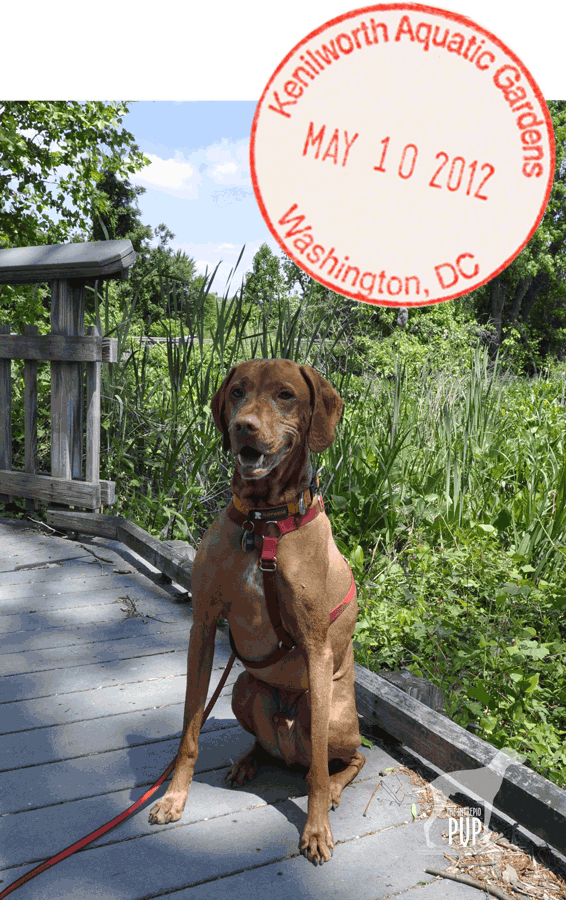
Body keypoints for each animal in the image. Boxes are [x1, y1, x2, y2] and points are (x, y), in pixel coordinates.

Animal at [149, 358, 366, 864]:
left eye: (285, 395)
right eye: (237, 392)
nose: (243, 426)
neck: (262, 522)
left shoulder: (315, 645)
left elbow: (319, 770)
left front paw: (316, 830)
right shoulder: (204, 625)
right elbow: (189, 731)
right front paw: (174, 797)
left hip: (333, 715)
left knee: (346, 758)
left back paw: (333, 791)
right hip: (244, 689)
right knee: (269, 746)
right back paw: (250, 761)